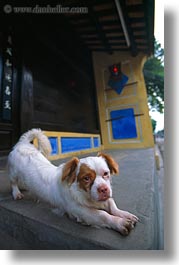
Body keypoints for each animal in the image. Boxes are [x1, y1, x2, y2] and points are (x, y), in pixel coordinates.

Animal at [7, 129, 138, 234]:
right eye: (86, 178)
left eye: (106, 173)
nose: (103, 189)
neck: (84, 194)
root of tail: (23, 144)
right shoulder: (80, 211)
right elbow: (103, 215)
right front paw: (119, 222)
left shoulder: (106, 198)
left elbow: (112, 206)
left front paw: (125, 214)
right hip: (13, 172)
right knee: (13, 182)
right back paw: (17, 193)